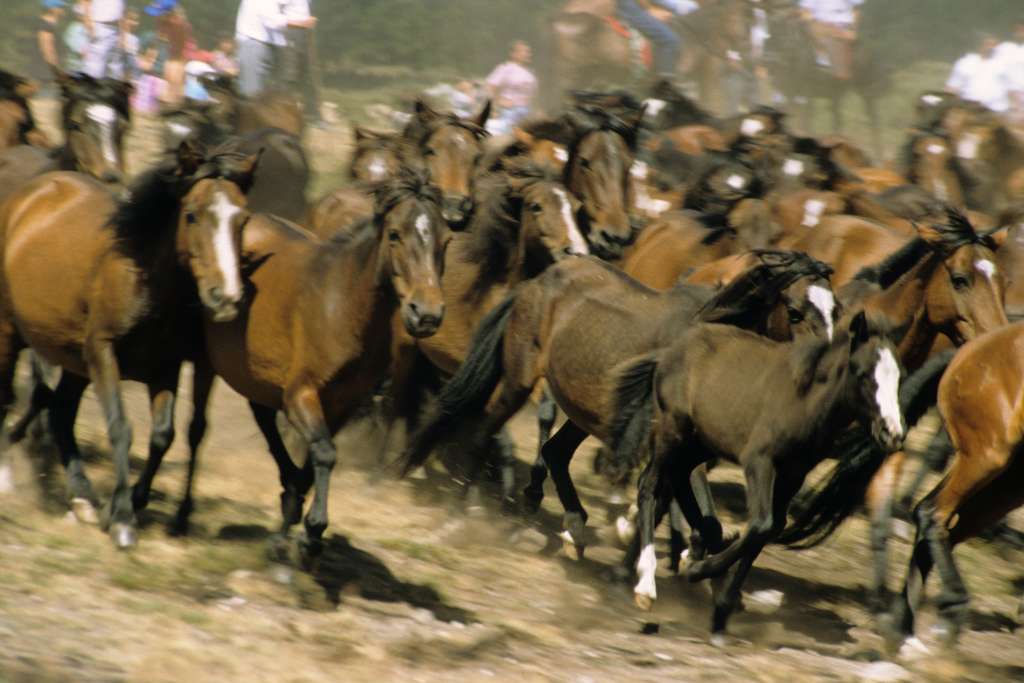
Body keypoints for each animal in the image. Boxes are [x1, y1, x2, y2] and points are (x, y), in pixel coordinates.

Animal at [0, 141, 258, 548]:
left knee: (60, 411)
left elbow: (162, 436)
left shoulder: (165, 367)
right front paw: (122, 520)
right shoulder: (103, 351)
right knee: (12, 398)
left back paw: (83, 498)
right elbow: (121, 427)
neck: (144, 276)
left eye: (243, 218)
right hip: (12, 332)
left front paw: (125, 506)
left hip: (74, 359)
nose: (227, 297)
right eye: (191, 215)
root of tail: (31, 192)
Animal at [884, 321, 1024, 651]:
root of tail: (966, 351)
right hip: (989, 456)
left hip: (1009, 479)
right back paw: (951, 609)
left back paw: (902, 627)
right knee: (933, 513)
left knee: (943, 520)